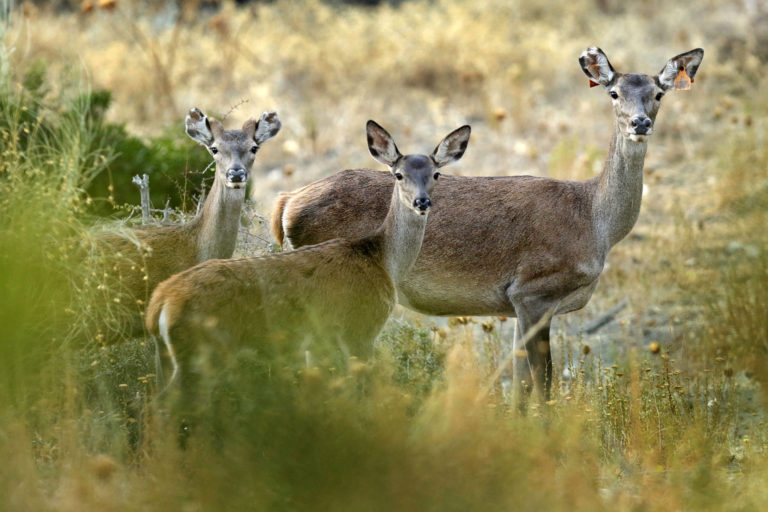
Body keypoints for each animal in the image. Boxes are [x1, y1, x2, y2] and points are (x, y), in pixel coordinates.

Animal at [143, 120, 468, 400]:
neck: (381, 259)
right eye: (398, 174)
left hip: (166, 354)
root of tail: (160, 301)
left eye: (436, 174)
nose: (422, 201)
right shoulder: (360, 328)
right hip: (195, 352)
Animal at [270, 47, 704, 400]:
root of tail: (287, 203)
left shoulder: (517, 305)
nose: (640, 123)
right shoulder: (534, 290)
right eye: (613, 93)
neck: (595, 224)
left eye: (659, 93)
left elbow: (521, 383)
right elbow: (542, 383)